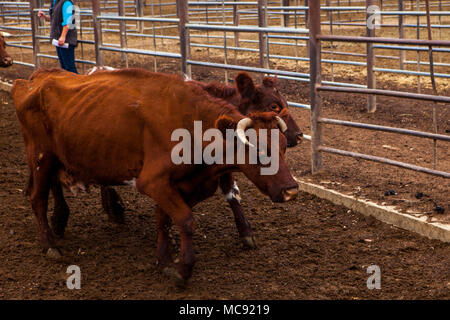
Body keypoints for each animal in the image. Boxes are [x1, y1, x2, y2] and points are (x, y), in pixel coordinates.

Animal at [12, 68, 298, 284]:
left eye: (283, 147)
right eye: (259, 149)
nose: (291, 189)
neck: (191, 124)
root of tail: (31, 81)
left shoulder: (176, 186)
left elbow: (165, 221)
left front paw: (163, 259)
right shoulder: (153, 182)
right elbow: (186, 221)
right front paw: (183, 268)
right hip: (41, 156)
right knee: (38, 197)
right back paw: (50, 243)